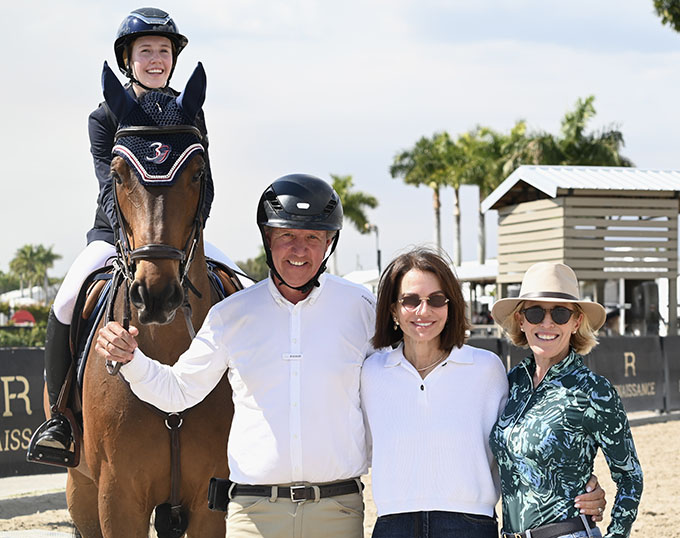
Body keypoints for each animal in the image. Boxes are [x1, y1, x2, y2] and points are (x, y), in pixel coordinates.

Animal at [65, 62, 238, 538]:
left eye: (198, 172)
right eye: (117, 174)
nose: (155, 295)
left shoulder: (209, 500)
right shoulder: (116, 497)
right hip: (79, 489)